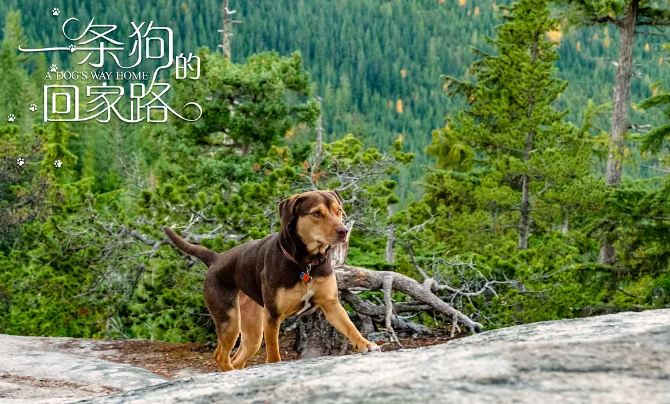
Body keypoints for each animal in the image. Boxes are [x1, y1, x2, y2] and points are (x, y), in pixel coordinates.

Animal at [163, 191, 380, 370]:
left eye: (339, 210)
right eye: (316, 213)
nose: (343, 231)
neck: (306, 263)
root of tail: (217, 258)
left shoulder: (331, 303)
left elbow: (350, 326)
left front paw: (365, 344)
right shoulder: (273, 316)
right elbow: (274, 354)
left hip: (253, 332)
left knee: (237, 358)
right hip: (229, 320)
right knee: (221, 356)